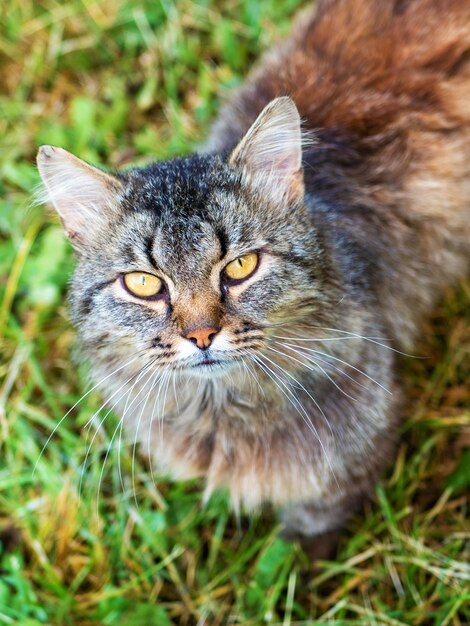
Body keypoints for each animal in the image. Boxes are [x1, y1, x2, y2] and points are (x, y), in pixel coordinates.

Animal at [35, 0, 470, 556]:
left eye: (240, 267)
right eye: (144, 284)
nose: (201, 336)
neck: (222, 408)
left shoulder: (359, 449)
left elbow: (311, 530)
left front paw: (296, 562)